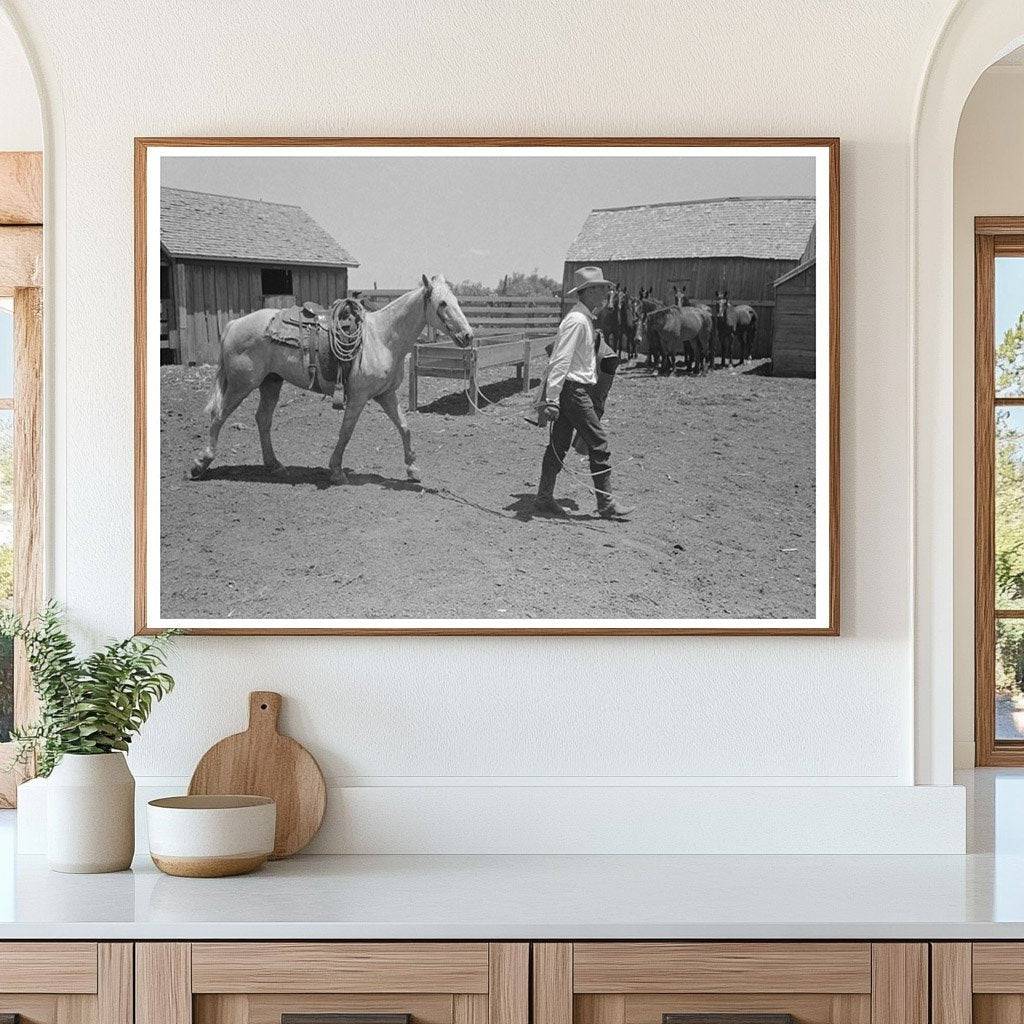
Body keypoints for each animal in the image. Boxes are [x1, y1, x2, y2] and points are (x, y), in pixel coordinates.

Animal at [190, 274, 473, 485]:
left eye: (456, 300)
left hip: (271, 382)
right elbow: (346, 431)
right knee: (219, 416)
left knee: (262, 419)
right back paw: (201, 463)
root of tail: (234, 324)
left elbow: (405, 427)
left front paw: (412, 469)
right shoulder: (359, 397)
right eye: (443, 303)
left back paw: (275, 465)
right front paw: (336, 471)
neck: (382, 338)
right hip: (241, 385)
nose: (468, 335)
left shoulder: (386, 395)